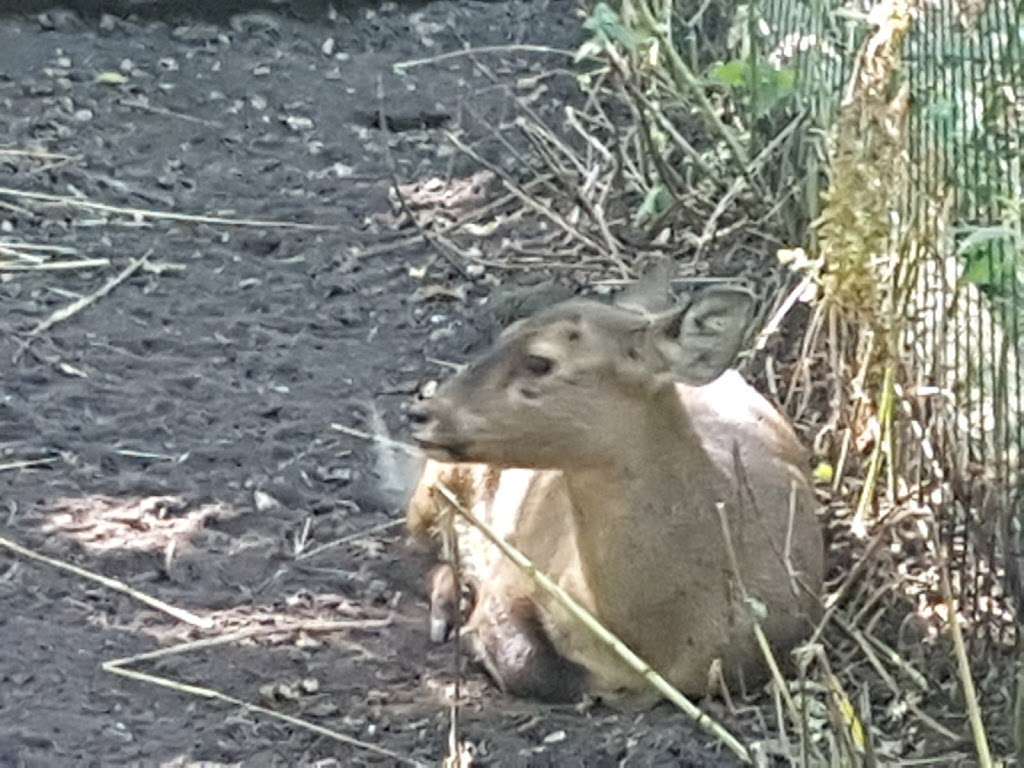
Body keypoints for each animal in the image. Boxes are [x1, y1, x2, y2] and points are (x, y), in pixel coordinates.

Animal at [403, 280, 827, 708]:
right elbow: (527, 661)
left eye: (540, 361)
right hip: (433, 490)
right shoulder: (514, 574)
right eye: (504, 334)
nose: (420, 413)